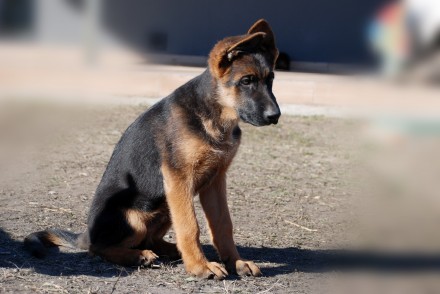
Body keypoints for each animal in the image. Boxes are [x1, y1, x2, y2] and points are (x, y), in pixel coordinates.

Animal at [24, 19, 278, 280]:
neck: (215, 116)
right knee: (99, 248)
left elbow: (223, 224)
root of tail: (86, 233)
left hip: (165, 204)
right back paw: (137, 256)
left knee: (150, 238)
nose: (275, 116)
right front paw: (200, 266)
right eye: (246, 81)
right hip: (138, 214)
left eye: (271, 79)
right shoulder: (178, 178)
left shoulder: (215, 181)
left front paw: (236, 262)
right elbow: (190, 226)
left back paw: (169, 250)